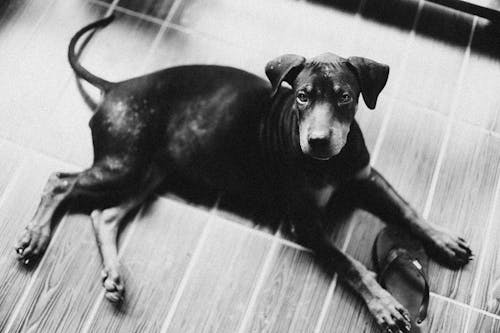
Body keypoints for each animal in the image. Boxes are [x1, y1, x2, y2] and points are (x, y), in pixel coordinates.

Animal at [13, 16, 470, 332]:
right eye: (302, 97)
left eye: (345, 97)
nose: (318, 142)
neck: (331, 167)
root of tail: (117, 86)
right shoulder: (304, 224)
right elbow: (351, 264)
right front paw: (385, 305)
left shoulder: (365, 176)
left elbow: (408, 210)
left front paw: (444, 239)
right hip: (122, 164)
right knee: (60, 182)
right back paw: (34, 237)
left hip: (148, 172)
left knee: (103, 215)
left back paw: (113, 276)